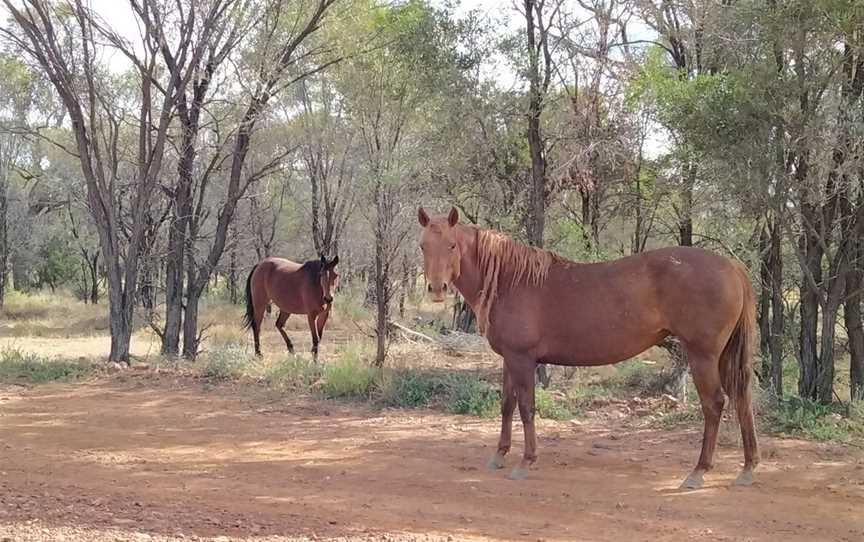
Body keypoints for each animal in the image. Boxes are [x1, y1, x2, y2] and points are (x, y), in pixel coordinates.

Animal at [418, 207, 756, 488]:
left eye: (451, 245)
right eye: (423, 245)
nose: (436, 288)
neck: (510, 281)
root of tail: (731, 266)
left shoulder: (522, 359)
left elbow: (526, 408)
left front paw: (526, 462)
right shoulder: (509, 359)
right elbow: (507, 405)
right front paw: (499, 456)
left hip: (702, 355)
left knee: (714, 404)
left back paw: (698, 471)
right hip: (723, 357)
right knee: (741, 398)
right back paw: (747, 468)